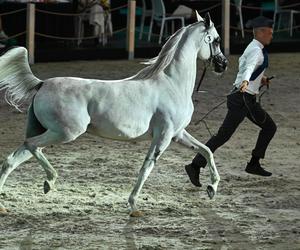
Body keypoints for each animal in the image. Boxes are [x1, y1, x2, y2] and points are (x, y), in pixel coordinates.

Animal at [0, 12, 226, 216]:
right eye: (216, 40)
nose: (223, 65)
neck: (172, 84)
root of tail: (42, 84)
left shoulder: (177, 134)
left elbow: (207, 150)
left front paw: (212, 188)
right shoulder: (163, 137)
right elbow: (146, 168)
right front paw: (133, 207)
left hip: (50, 132)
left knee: (12, 159)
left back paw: (5, 206)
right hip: (65, 133)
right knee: (31, 146)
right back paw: (50, 180)